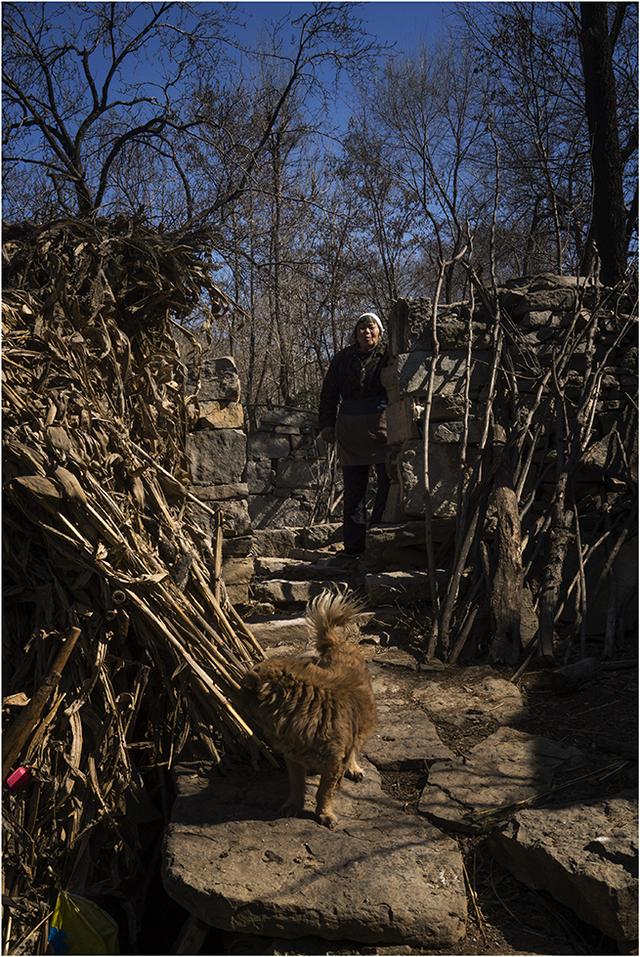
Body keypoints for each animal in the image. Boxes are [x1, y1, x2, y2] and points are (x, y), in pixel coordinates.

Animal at [242, 588, 378, 824]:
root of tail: (338, 643)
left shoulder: (333, 763)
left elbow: (324, 791)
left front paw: (324, 813)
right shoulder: (293, 758)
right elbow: (297, 785)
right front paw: (293, 805)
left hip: (363, 724)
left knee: (355, 747)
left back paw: (354, 768)